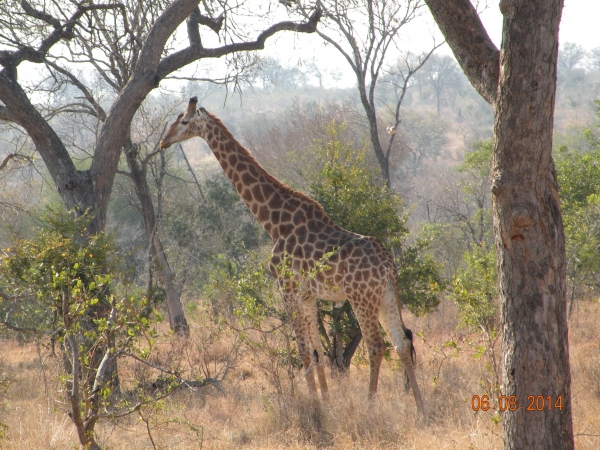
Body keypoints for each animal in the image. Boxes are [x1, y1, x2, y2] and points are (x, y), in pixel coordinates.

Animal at [159, 97, 426, 414]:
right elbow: (318, 351)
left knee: (376, 345)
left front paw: (313, 405)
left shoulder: (286, 290)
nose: (163, 142)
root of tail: (388, 264)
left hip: (361, 298)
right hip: (385, 296)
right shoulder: (308, 295)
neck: (274, 222)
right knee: (402, 342)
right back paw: (421, 409)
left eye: (184, 122)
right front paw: (326, 401)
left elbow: (304, 352)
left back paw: (371, 405)